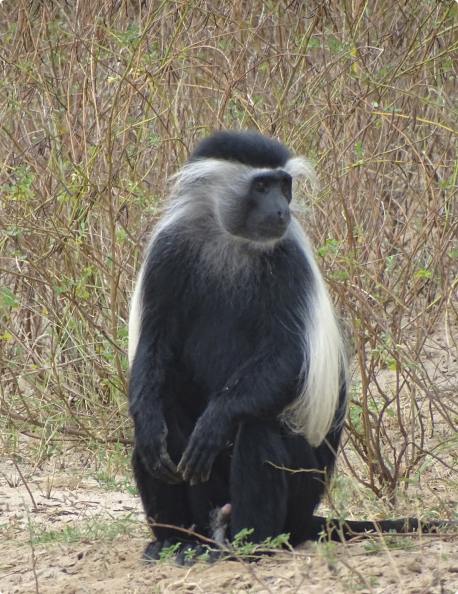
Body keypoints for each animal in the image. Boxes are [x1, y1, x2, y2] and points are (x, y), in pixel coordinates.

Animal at [128, 132, 444, 560]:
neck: (232, 240)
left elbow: (290, 358)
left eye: (284, 185)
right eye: (261, 186)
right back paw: (175, 540)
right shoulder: (168, 253)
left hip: (302, 484)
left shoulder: (289, 261)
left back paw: (248, 544)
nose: (281, 211)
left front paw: (215, 421)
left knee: (257, 430)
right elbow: (155, 345)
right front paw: (147, 419)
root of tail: (306, 518)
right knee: (164, 421)